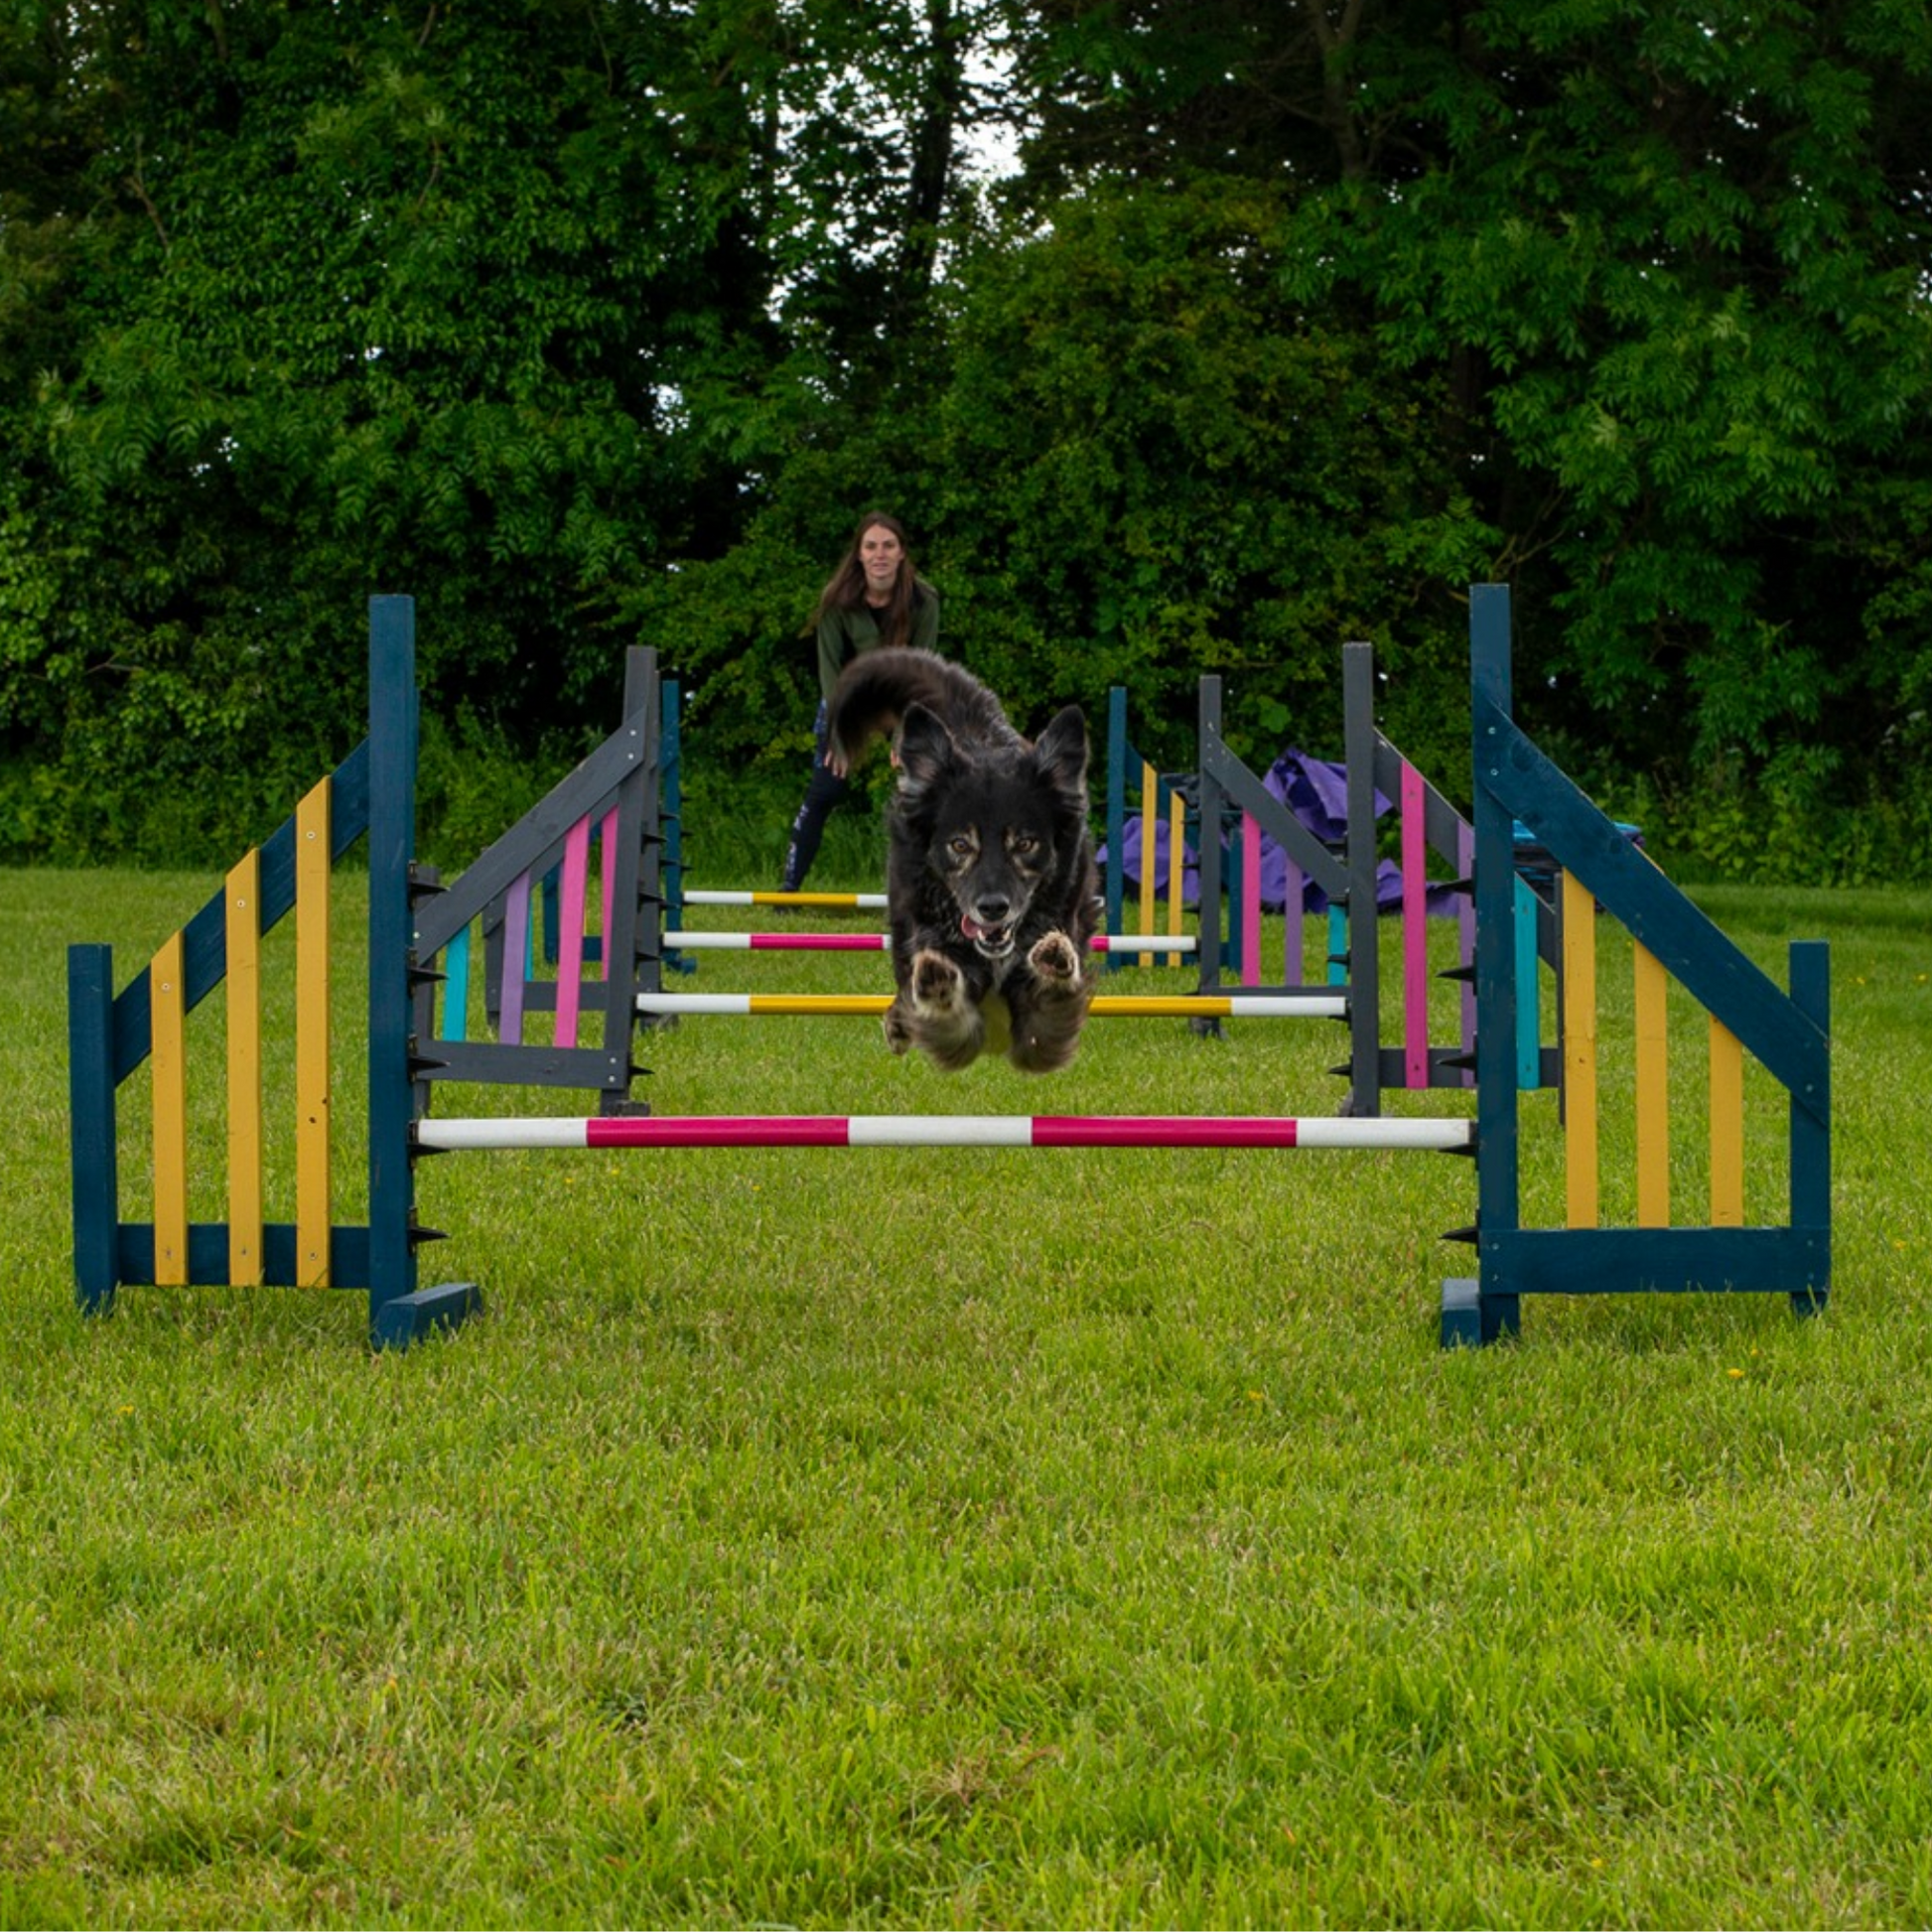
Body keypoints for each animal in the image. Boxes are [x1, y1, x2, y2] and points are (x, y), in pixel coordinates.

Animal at [826, 648, 1105, 1073]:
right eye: (959, 844)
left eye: (1025, 843)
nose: (992, 908)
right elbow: (952, 1023)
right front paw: (937, 987)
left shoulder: (1039, 1039)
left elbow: (1045, 1015)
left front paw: (1053, 967)